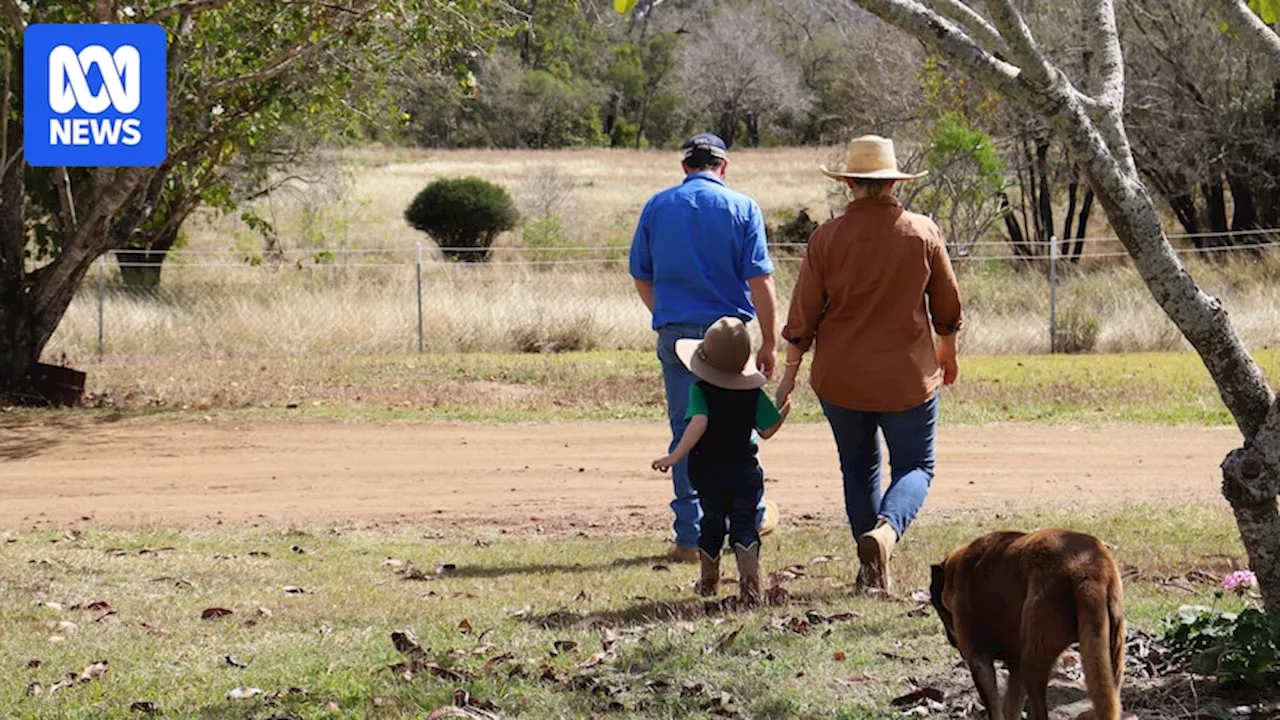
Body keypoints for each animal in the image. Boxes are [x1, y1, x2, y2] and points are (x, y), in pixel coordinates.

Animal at [931, 527, 1131, 717]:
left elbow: (994, 706)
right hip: (1113, 656)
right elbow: (1011, 708)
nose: (951, 640)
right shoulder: (1015, 666)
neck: (956, 569)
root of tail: (1088, 571)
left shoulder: (978, 659)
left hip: (1033, 661)